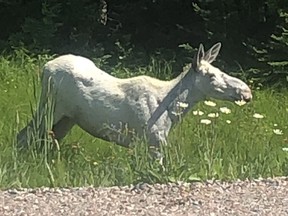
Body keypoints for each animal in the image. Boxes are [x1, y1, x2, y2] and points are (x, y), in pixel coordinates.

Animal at [17, 42, 252, 150]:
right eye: (211, 75)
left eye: (219, 70)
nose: (246, 92)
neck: (173, 112)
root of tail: (45, 67)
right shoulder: (155, 141)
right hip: (49, 108)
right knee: (23, 135)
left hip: (67, 118)